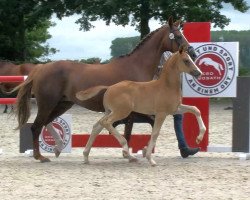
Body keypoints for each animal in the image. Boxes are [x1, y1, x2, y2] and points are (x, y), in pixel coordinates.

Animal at [77, 46, 206, 166]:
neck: (167, 86)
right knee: (106, 123)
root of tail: (109, 87)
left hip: (110, 111)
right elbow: (155, 133)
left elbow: (195, 110)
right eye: (186, 60)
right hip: (121, 112)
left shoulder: (175, 109)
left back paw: (86, 157)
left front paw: (199, 138)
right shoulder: (161, 113)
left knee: (97, 126)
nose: (199, 73)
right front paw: (150, 159)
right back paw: (125, 149)